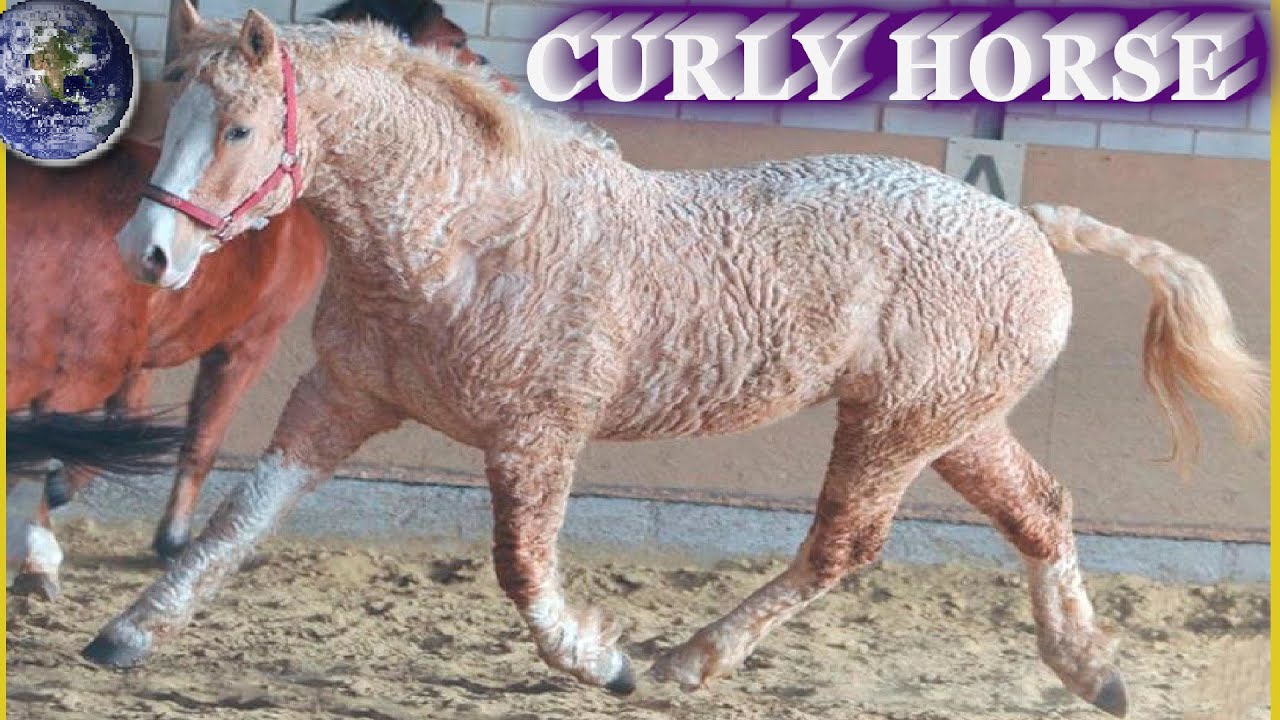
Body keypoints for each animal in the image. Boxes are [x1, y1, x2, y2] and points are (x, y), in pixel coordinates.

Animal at [4, 0, 504, 599]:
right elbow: (200, 439)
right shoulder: (246, 343)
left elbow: (125, 425)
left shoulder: (143, 355)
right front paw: (171, 540)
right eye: (456, 43)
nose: (497, 89)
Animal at [85, 9, 1267, 718]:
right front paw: (124, 635)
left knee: (843, 547)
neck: (465, 235)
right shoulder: (340, 397)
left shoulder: (537, 437)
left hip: (896, 429)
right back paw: (1093, 671)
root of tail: (1026, 225)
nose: (147, 256)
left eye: (238, 129)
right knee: (1041, 515)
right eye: (174, 107)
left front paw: (603, 659)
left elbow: (523, 571)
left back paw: (684, 662)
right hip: (955, 425)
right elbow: (242, 518)